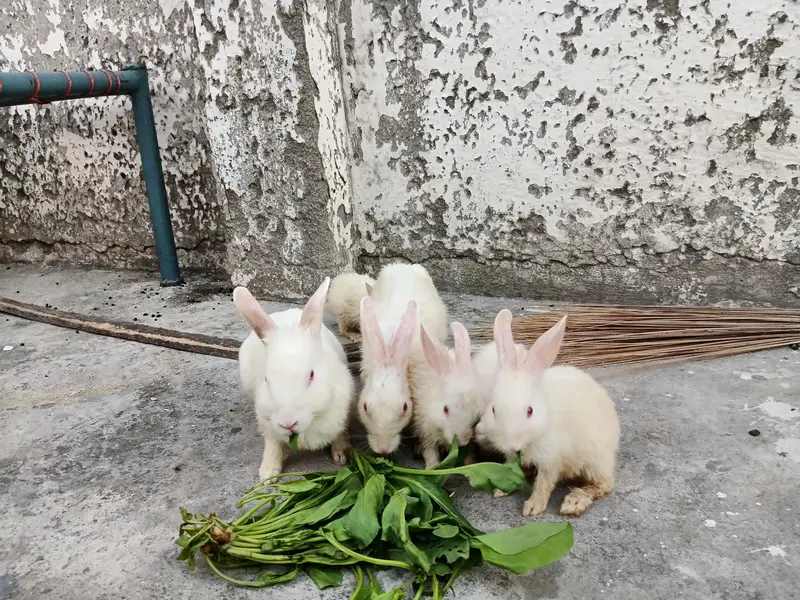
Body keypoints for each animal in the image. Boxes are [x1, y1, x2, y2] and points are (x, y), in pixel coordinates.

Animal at [234, 277, 355, 481]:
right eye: (266, 380)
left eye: (311, 375)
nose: (288, 423)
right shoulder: (267, 423)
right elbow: (273, 445)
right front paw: (268, 474)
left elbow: (341, 434)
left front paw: (341, 456)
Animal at [474, 309, 620, 517]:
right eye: (494, 409)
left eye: (530, 410)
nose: (512, 445)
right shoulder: (513, 458)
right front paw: (501, 489)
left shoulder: (551, 460)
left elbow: (544, 484)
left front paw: (533, 507)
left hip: (596, 460)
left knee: (603, 484)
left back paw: (573, 503)